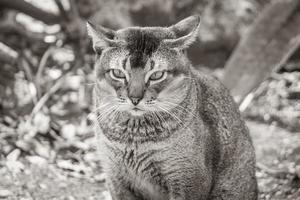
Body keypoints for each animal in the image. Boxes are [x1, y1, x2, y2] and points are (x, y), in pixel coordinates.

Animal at [87, 14, 258, 199]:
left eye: (156, 75)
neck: (135, 139)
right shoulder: (116, 178)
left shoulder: (188, 180)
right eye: (118, 73)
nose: (134, 98)